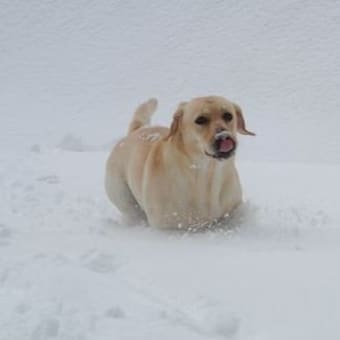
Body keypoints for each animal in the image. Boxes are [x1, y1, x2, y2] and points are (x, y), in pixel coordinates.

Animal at [105, 95, 254, 228]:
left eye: (228, 116)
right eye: (200, 120)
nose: (223, 136)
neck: (205, 175)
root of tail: (137, 130)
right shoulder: (167, 226)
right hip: (122, 195)